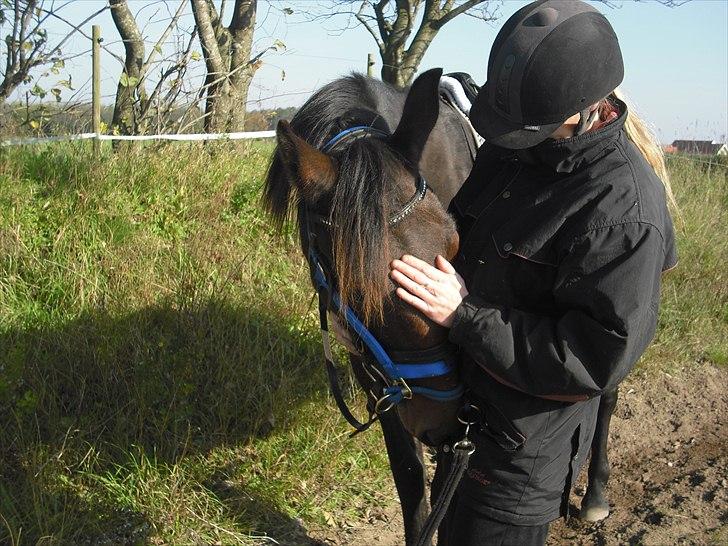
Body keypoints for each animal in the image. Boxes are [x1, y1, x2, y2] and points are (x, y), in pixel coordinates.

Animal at [262, 70, 620, 540]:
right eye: (357, 291)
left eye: (454, 246)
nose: (441, 417)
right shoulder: (377, 371)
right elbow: (412, 480)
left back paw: (596, 495)